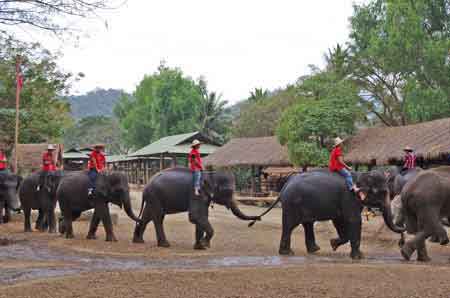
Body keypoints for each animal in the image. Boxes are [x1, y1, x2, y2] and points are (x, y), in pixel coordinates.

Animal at [132, 168, 262, 249]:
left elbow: (202, 216)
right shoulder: (196, 193)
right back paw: (165, 245)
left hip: (153, 198)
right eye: (228, 192)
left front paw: (200, 247)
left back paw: (138, 241)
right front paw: (204, 244)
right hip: (155, 196)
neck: (209, 174)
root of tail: (146, 186)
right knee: (158, 218)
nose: (258, 219)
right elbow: (195, 216)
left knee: (147, 216)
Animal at [253, 169, 404, 260]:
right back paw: (288, 253)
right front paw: (359, 257)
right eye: (383, 192)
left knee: (307, 224)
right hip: (292, 204)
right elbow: (353, 220)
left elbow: (340, 221)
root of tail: (285, 185)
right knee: (290, 226)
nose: (402, 239)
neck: (361, 175)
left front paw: (333, 244)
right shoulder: (349, 198)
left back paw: (313, 250)